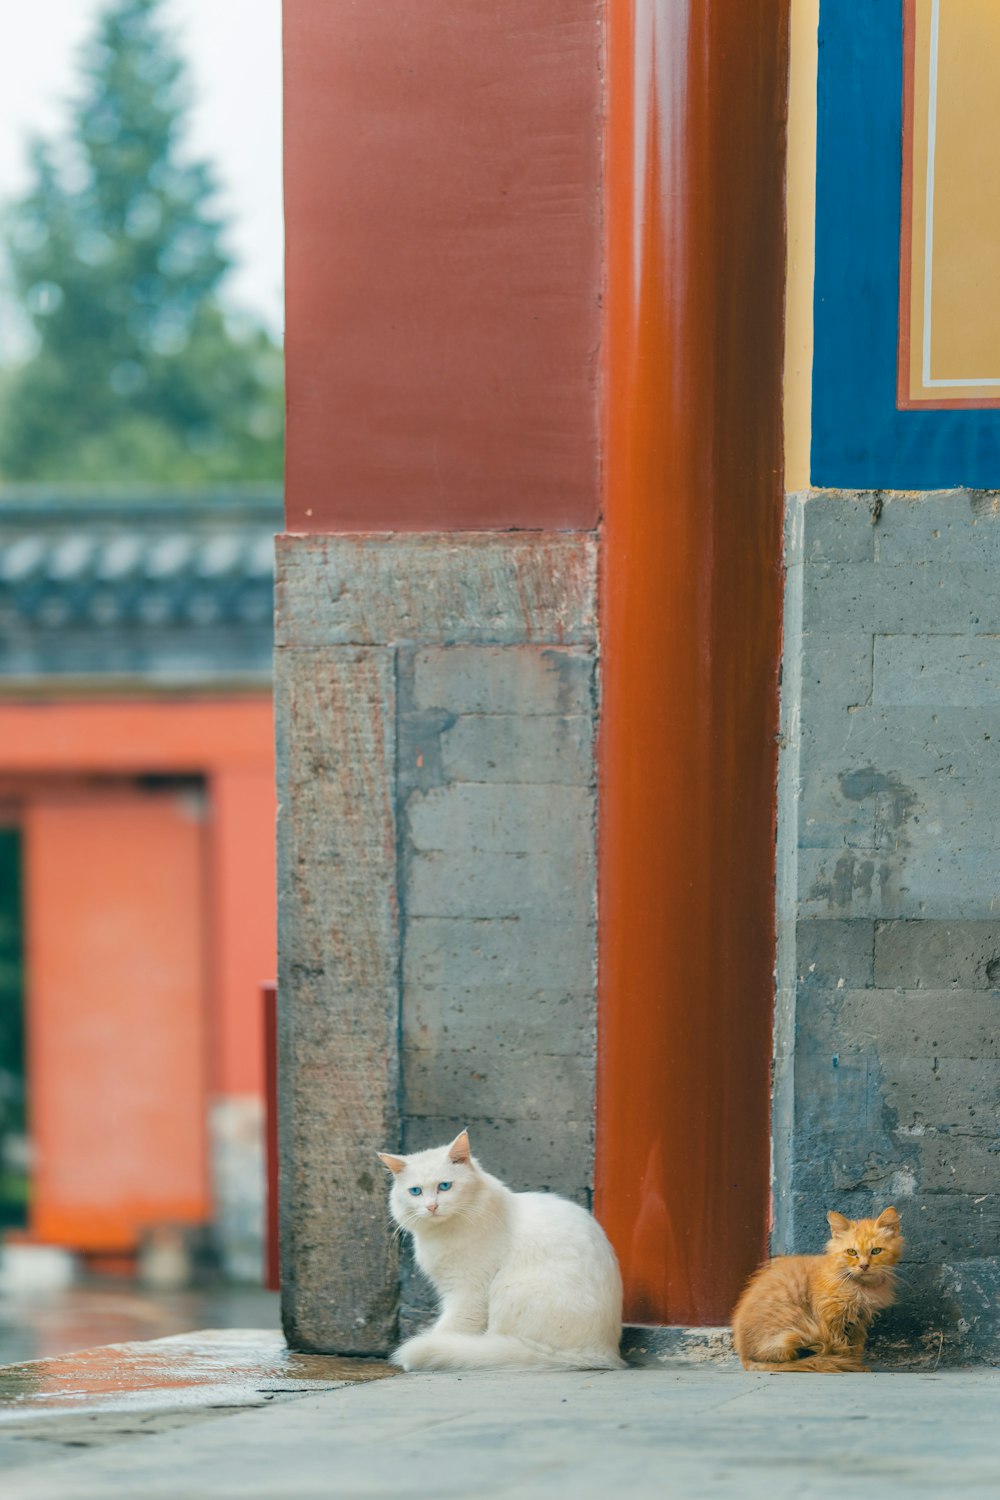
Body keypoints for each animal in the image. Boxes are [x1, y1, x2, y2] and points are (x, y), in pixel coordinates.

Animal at [377, 1128, 620, 1374]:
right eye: (415, 1191)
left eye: (444, 1186)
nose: (431, 1207)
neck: (442, 1231)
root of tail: (601, 1352)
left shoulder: (468, 1292)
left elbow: (448, 1329)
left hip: (509, 1291)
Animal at [731, 1206, 905, 1374]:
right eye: (851, 1252)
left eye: (876, 1251)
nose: (864, 1266)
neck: (861, 1287)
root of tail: (744, 1357)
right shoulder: (831, 1317)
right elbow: (842, 1346)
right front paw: (848, 1364)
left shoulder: (858, 1320)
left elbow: (856, 1346)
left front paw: (855, 1364)